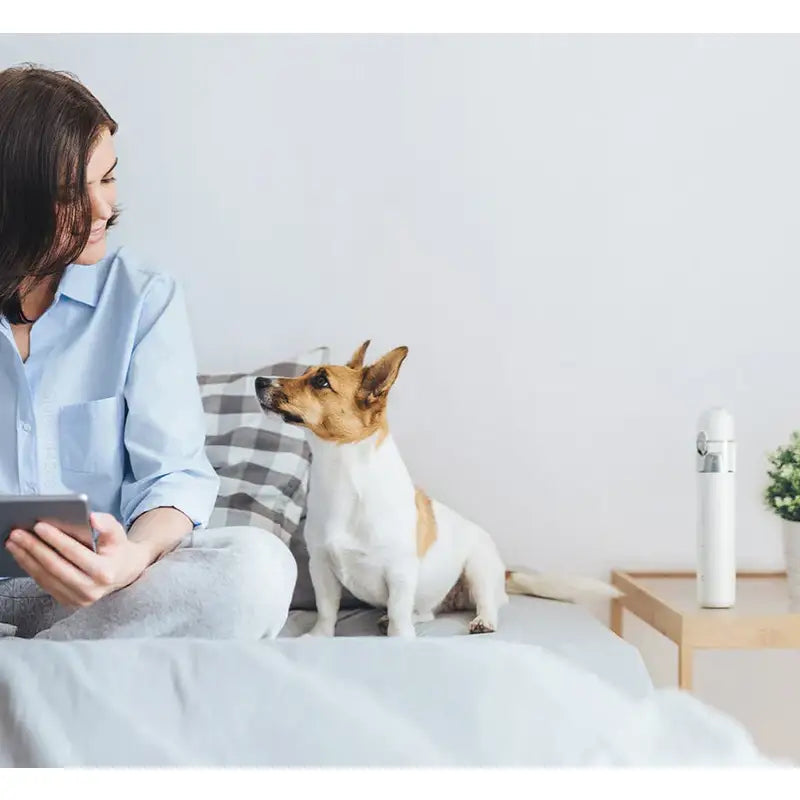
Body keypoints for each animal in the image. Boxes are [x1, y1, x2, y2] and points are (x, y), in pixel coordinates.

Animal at [255, 340, 620, 636]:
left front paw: (399, 637)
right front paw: (318, 636)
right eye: (305, 373)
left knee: (485, 603)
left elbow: (399, 618)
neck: (344, 476)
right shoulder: (321, 567)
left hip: (478, 567)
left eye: (320, 381)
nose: (259, 381)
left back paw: (482, 621)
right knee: (425, 612)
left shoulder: (400, 573)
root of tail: (503, 573)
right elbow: (327, 611)